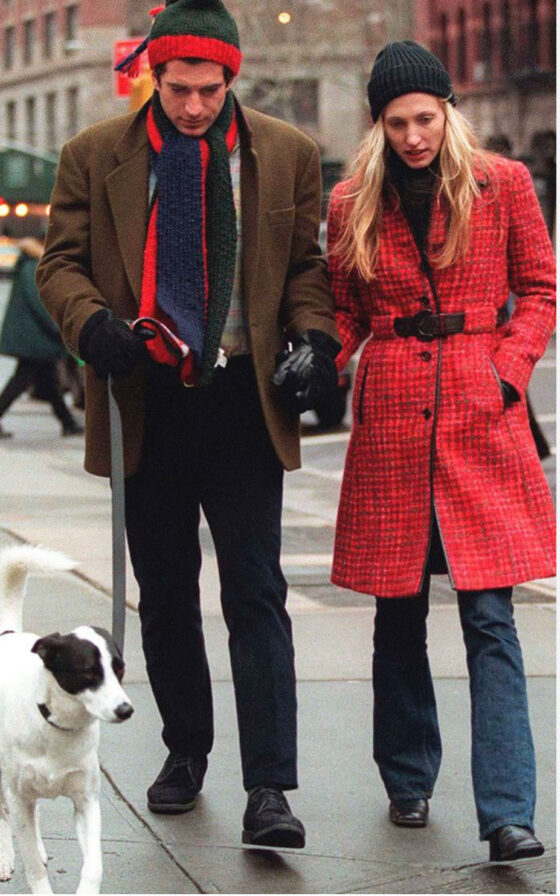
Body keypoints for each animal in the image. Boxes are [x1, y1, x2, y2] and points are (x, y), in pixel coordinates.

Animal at [0, 544, 135, 892]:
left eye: (119, 669)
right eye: (88, 672)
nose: (126, 711)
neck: (56, 725)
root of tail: (8, 634)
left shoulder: (87, 801)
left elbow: (94, 864)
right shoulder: (18, 795)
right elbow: (33, 868)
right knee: (4, 815)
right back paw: (5, 856)